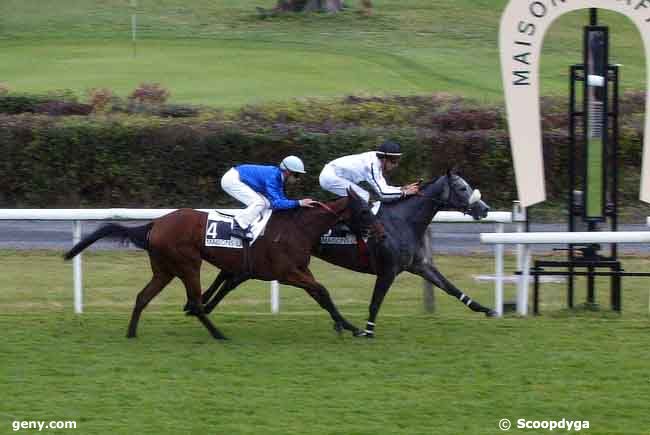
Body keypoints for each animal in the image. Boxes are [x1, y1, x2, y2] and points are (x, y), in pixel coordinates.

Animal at [65, 192, 372, 342]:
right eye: (364, 210)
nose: (377, 232)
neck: (297, 228)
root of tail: (156, 223)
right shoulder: (287, 273)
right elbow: (322, 290)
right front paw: (347, 326)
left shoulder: (297, 271)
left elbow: (322, 295)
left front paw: (349, 326)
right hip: (188, 264)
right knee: (195, 302)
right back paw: (219, 334)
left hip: (165, 269)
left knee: (143, 297)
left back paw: (131, 333)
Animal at [202, 172, 496, 338]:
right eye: (462, 188)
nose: (484, 209)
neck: (403, 221)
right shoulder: (388, 271)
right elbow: (375, 302)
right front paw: (367, 330)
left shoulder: (419, 265)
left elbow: (451, 288)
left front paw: (486, 309)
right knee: (231, 277)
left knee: (231, 276)